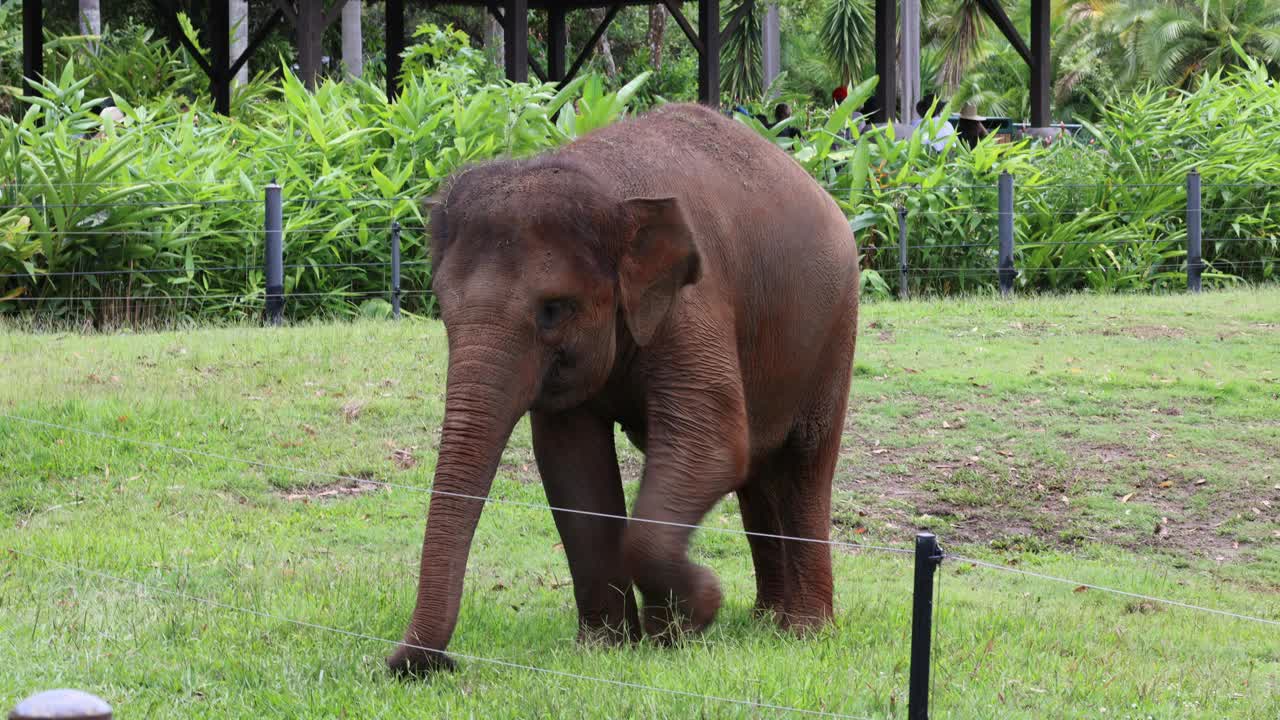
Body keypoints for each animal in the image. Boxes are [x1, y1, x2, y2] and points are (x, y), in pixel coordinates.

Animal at [381, 101, 860, 671]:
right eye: (442, 306)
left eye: (553, 310)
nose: (414, 663)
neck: (605, 188)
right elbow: (571, 464)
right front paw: (613, 645)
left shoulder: (694, 302)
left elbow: (712, 446)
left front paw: (697, 612)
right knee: (758, 475)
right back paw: (765, 620)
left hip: (836, 328)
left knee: (804, 462)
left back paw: (803, 631)